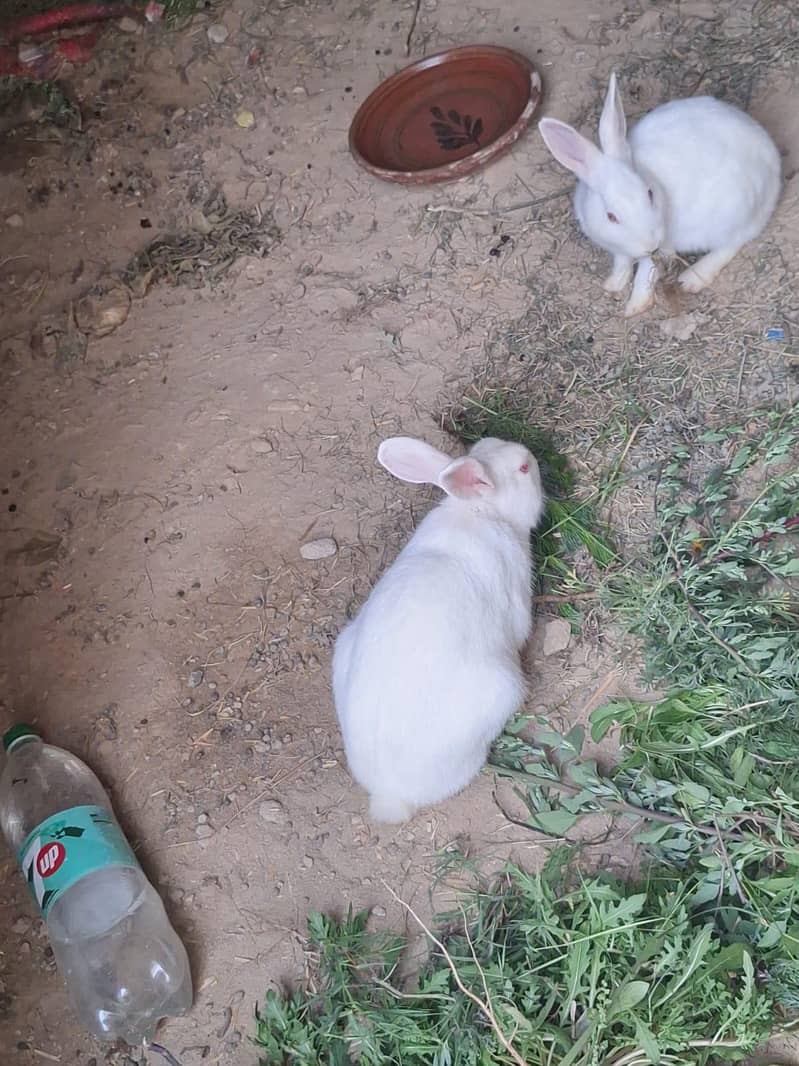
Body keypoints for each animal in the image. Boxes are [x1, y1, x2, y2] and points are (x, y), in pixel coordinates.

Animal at [538, 72, 782, 317]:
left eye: (649, 193)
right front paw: (613, 284)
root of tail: (775, 171)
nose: (651, 245)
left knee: (732, 244)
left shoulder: (663, 245)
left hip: (732, 214)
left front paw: (634, 307)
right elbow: (622, 263)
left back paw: (691, 278)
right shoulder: (619, 249)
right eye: (611, 217)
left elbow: (645, 274)